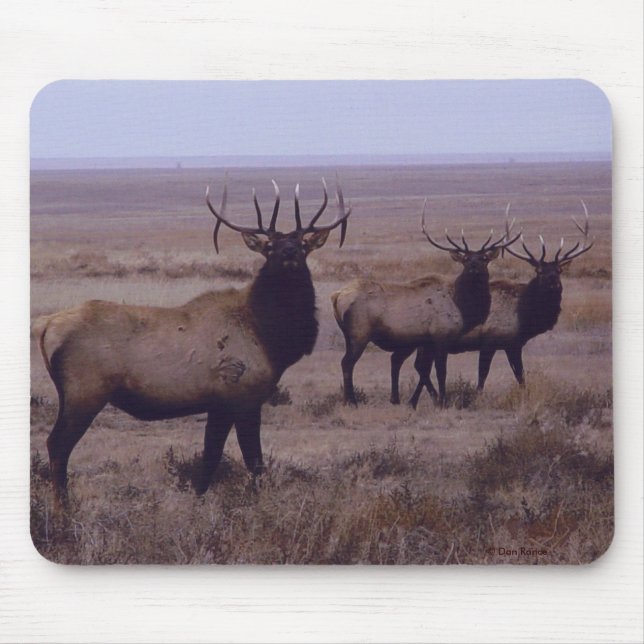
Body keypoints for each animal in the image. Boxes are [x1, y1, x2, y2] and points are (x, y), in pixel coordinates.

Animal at [33, 177, 352, 505]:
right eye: (269, 247)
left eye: (303, 245)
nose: (288, 252)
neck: (270, 337)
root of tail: (45, 326)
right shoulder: (242, 396)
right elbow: (251, 461)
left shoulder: (220, 404)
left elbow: (212, 458)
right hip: (85, 392)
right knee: (57, 444)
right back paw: (64, 508)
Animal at [331, 200, 520, 406]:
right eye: (465, 259)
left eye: (484, 258)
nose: (474, 269)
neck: (462, 307)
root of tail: (337, 296)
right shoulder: (441, 336)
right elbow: (441, 372)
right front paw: (443, 401)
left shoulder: (427, 341)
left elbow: (424, 371)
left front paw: (424, 400)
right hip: (359, 333)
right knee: (347, 363)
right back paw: (352, 401)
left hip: (349, 335)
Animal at [405, 201, 593, 408]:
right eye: (539, 271)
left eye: (559, 270)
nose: (553, 283)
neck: (524, 315)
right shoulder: (491, 340)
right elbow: (483, 375)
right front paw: (477, 399)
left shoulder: (513, 344)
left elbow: (521, 377)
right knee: (421, 366)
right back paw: (428, 399)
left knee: (420, 366)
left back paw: (419, 400)